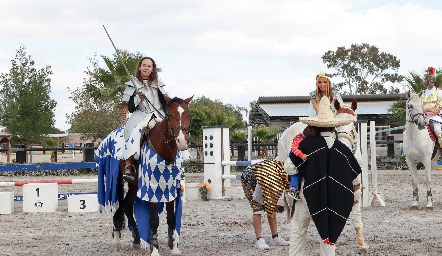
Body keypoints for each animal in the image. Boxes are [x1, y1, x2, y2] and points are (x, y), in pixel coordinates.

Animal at [96, 95, 193, 255]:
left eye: (188, 114)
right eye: (169, 115)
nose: (182, 141)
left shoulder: (169, 189)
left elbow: (171, 218)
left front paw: (174, 247)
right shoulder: (151, 190)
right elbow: (154, 220)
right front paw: (155, 249)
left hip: (135, 185)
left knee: (127, 205)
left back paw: (136, 239)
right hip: (115, 179)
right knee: (118, 206)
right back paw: (116, 241)